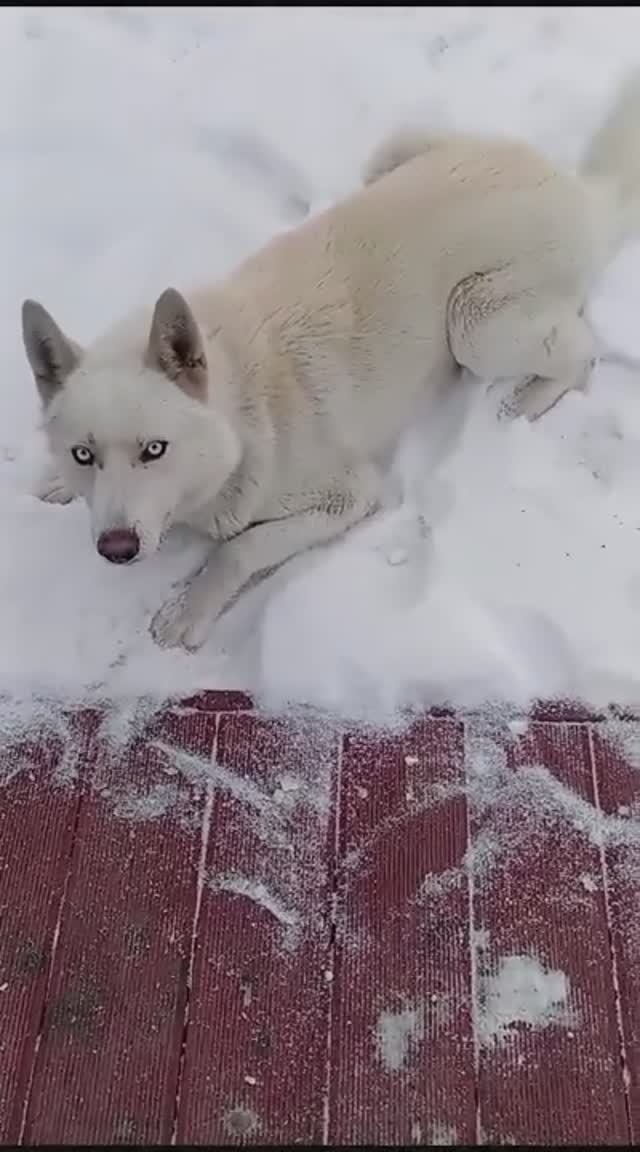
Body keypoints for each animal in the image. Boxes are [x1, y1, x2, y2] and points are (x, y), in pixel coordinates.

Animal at [21, 69, 640, 649]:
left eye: (155, 449)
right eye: (83, 455)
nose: (116, 549)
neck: (236, 418)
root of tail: (579, 191)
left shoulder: (348, 494)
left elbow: (241, 548)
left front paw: (190, 608)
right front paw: (57, 485)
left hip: (474, 326)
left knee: (580, 353)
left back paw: (526, 401)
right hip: (391, 153)